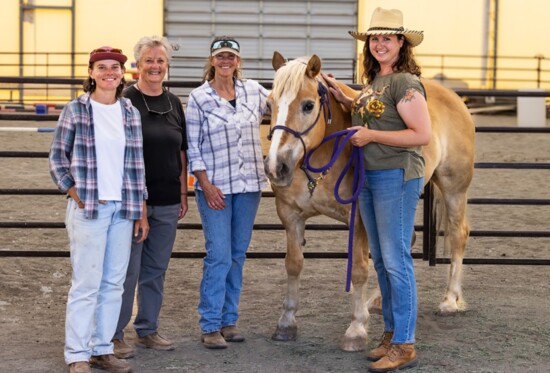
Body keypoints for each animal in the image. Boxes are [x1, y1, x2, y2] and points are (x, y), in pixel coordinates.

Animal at [266, 50, 476, 350]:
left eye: (308, 105)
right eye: (269, 103)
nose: (276, 167)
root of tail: (453, 97)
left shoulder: (360, 219)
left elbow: (359, 269)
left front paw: (356, 330)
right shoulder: (290, 215)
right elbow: (293, 265)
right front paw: (286, 323)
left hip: (454, 188)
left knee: (458, 235)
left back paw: (449, 301)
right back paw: (376, 301)